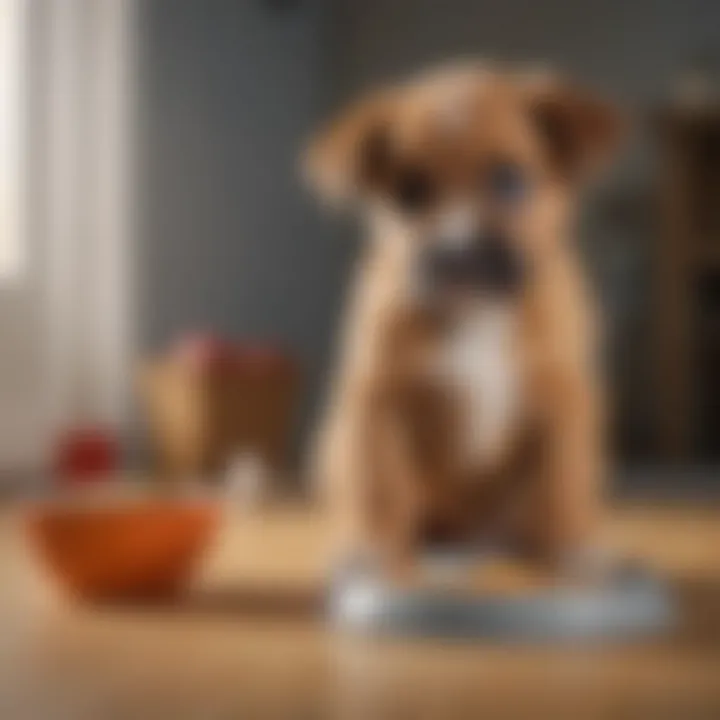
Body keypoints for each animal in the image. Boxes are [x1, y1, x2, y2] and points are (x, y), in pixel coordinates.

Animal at [304, 64, 620, 576]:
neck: (477, 311)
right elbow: (379, 488)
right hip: (333, 443)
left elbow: (562, 485)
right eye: (409, 191)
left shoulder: (564, 402)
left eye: (508, 179)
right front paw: (374, 552)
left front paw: (570, 549)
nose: (455, 257)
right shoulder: (379, 400)